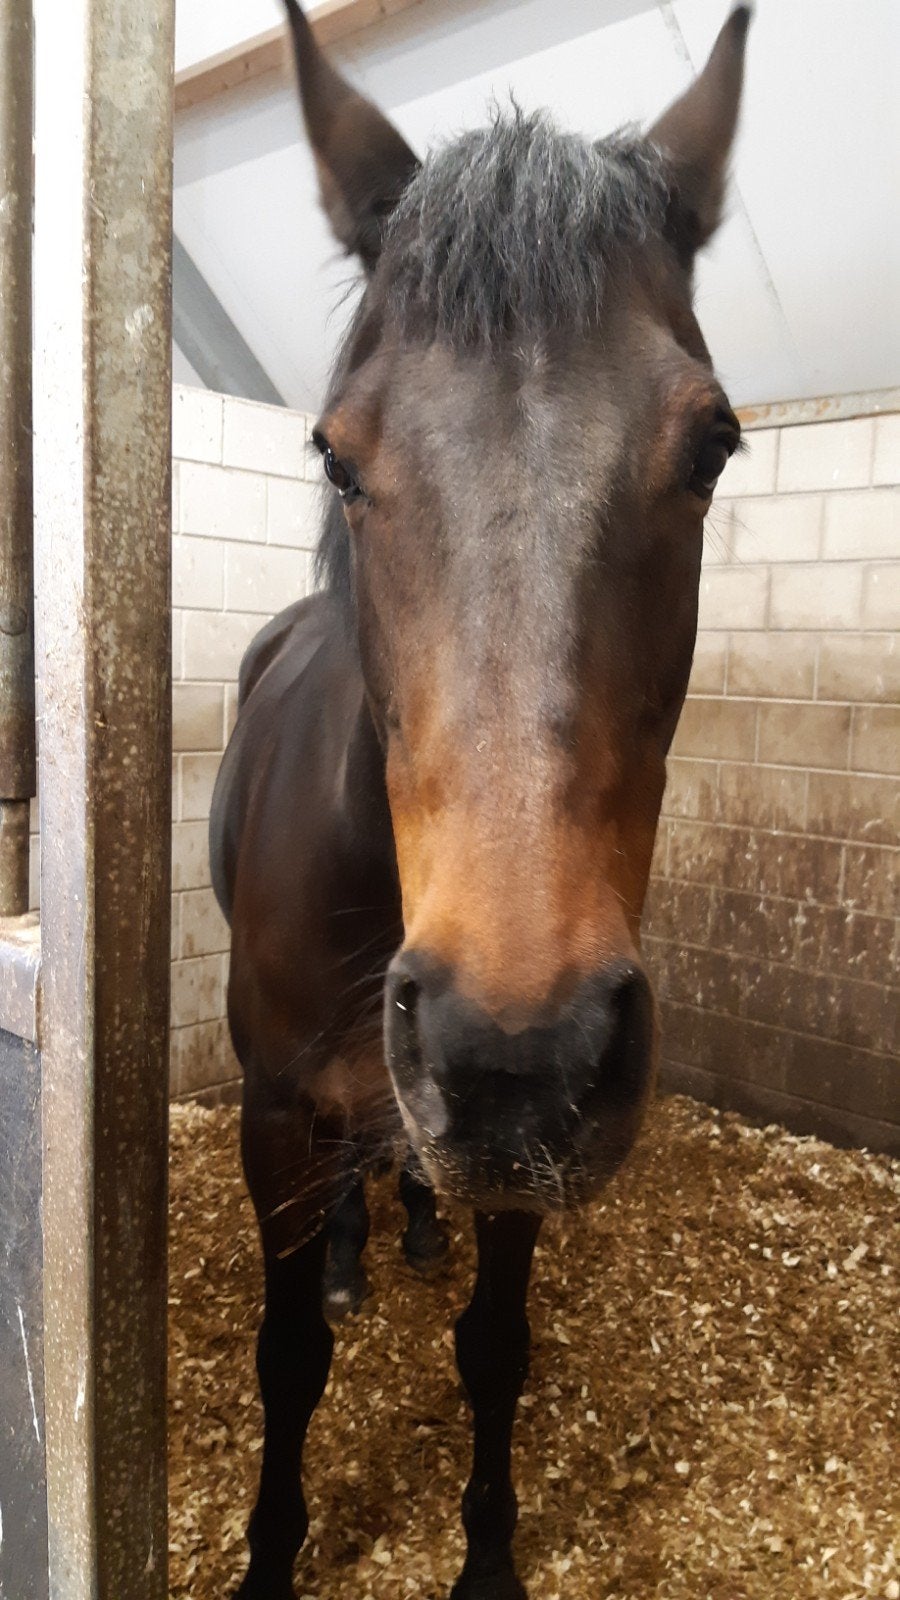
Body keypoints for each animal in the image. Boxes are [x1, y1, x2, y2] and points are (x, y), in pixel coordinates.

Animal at [209, 4, 751, 1595]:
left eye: (713, 445)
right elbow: (283, 1362)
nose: (511, 1049)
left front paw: (491, 1559)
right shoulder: (272, 1111)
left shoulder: (526, 1148)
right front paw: (271, 1556)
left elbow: (495, 1353)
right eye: (335, 451)